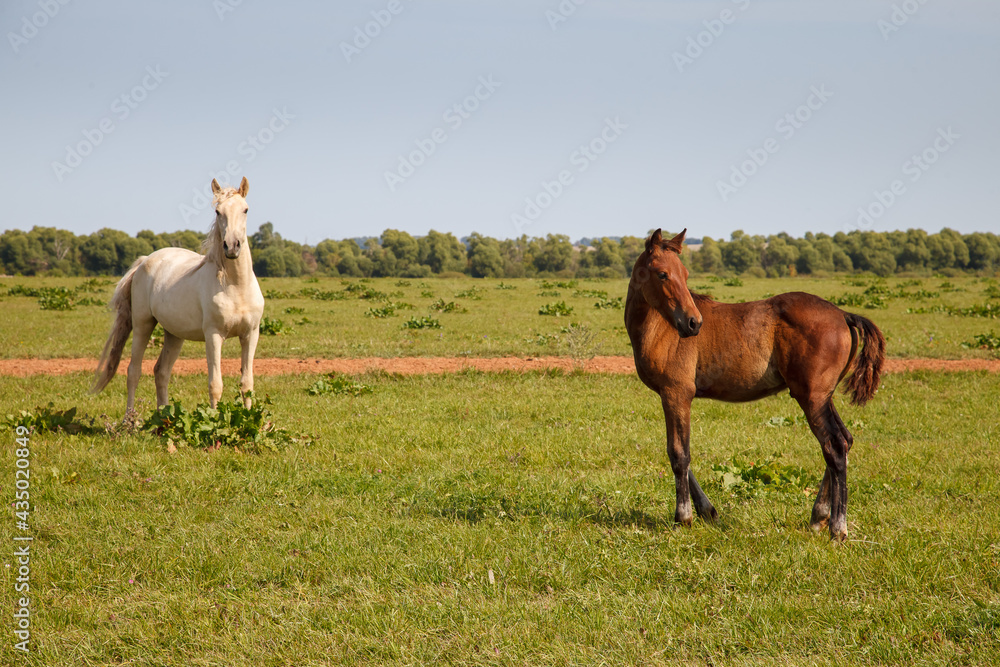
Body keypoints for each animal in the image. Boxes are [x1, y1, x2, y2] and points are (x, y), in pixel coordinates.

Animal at [93, 177, 265, 414]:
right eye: (217, 211)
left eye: (245, 209)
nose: (231, 246)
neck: (235, 286)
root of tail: (145, 261)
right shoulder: (213, 335)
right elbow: (215, 384)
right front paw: (213, 420)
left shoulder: (250, 334)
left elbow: (247, 383)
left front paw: (249, 420)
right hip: (143, 324)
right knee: (133, 371)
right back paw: (130, 418)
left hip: (174, 334)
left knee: (161, 372)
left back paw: (163, 418)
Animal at [624, 229, 885, 541]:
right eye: (663, 274)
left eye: (685, 275)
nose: (693, 323)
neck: (660, 328)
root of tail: (843, 315)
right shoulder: (671, 396)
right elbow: (679, 454)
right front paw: (708, 511)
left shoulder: (676, 394)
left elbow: (679, 454)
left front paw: (683, 517)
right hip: (824, 396)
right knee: (844, 440)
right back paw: (819, 517)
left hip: (812, 397)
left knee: (833, 446)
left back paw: (837, 528)